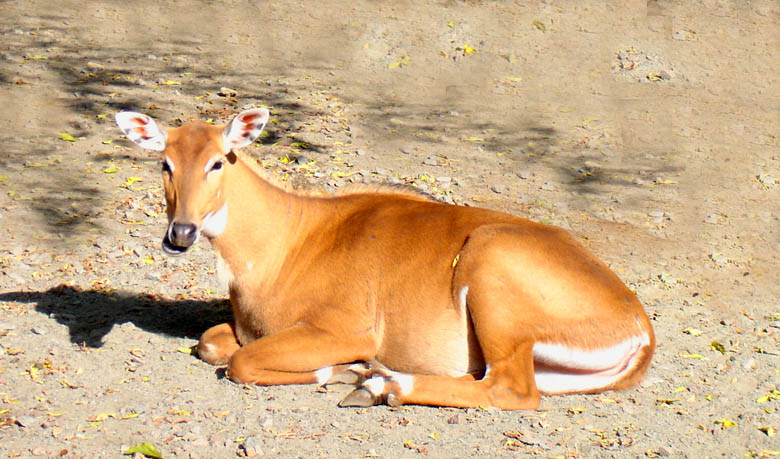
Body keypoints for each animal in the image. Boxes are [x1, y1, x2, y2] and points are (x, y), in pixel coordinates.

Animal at [114, 108, 652, 410]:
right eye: (165, 163)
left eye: (218, 161)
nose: (180, 233)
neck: (288, 242)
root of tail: (639, 328)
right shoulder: (246, 329)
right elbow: (210, 343)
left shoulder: (345, 329)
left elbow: (242, 363)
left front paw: (347, 369)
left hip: (492, 274)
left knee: (510, 390)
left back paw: (380, 386)